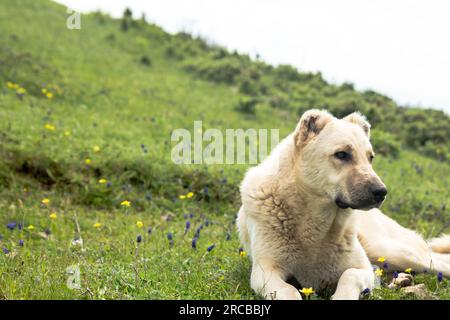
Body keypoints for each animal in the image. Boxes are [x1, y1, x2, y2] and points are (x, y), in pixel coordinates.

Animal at [237, 110, 448, 300]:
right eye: (342, 154)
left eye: (370, 157)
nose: (381, 192)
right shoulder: (265, 270)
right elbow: (288, 290)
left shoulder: (362, 268)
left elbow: (349, 275)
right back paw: (401, 280)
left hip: (390, 251)